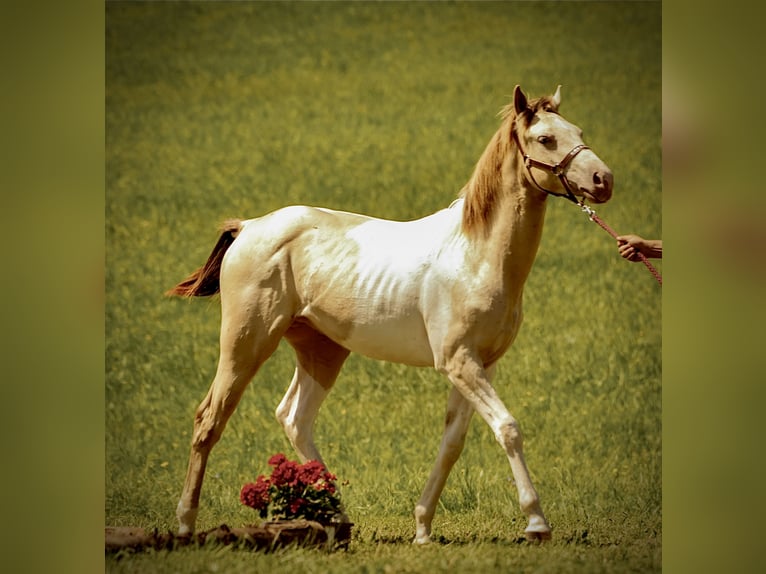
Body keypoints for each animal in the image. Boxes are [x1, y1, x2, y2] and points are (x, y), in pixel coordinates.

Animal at [168, 85, 613, 543]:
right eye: (545, 139)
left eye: (579, 131)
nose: (604, 180)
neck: (475, 254)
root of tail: (249, 227)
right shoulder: (458, 362)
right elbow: (508, 428)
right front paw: (536, 523)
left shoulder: (482, 364)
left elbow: (453, 444)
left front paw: (422, 527)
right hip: (246, 344)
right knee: (209, 420)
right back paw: (185, 525)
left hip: (321, 351)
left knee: (294, 418)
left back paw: (338, 520)